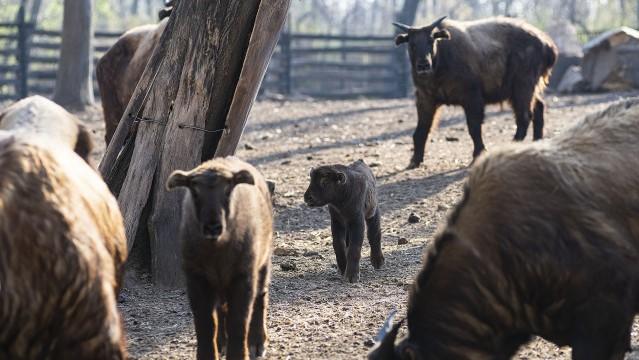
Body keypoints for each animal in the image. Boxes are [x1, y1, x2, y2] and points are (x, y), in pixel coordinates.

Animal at [166, 157, 274, 360]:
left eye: (228, 189)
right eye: (195, 191)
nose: (212, 227)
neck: (216, 251)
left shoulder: (243, 276)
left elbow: (238, 322)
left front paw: (239, 353)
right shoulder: (196, 278)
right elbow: (205, 324)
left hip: (263, 261)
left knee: (260, 296)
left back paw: (257, 342)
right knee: (220, 309)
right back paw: (221, 342)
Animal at [398, 16, 556, 168]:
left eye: (431, 41)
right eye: (412, 44)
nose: (423, 66)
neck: (441, 62)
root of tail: (548, 45)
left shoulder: (472, 98)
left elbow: (474, 128)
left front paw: (478, 154)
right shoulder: (425, 99)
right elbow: (421, 130)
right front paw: (414, 160)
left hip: (522, 86)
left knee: (524, 117)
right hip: (527, 90)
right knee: (538, 108)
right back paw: (537, 144)